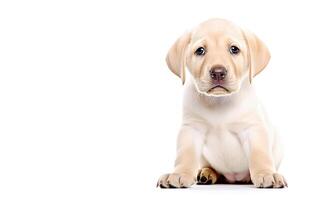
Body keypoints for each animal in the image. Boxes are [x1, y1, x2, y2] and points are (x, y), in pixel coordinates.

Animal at [157, 18, 286, 189]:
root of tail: (234, 179)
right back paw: (206, 173)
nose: (218, 72)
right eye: (200, 51)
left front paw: (266, 173)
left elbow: (260, 154)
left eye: (234, 49)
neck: (219, 101)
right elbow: (185, 154)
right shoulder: (191, 129)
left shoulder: (253, 129)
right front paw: (180, 173)